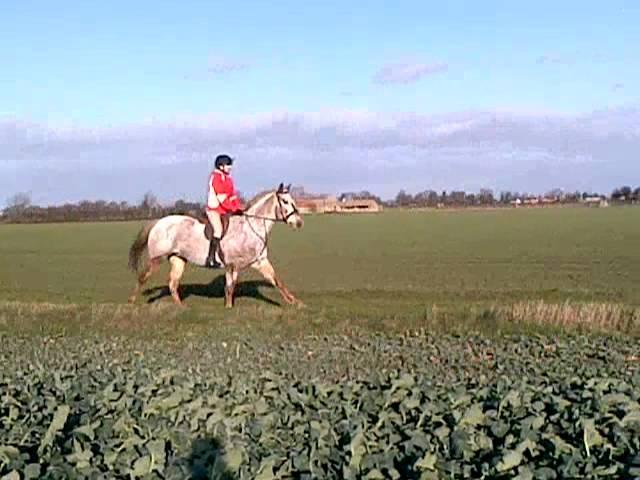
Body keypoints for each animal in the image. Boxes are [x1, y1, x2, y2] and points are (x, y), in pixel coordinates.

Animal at [127, 184, 304, 308]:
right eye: (285, 201)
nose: (299, 223)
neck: (249, 227)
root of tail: (159, 222)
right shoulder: (231, 264)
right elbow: (230, 287)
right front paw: (228, 308)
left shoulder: (259, 261)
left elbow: (277, 281)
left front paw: (295, 302)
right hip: (156, 259)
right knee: (142, 278)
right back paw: (131, 302)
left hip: (178, 259)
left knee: (172, 284)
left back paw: (182, 307)